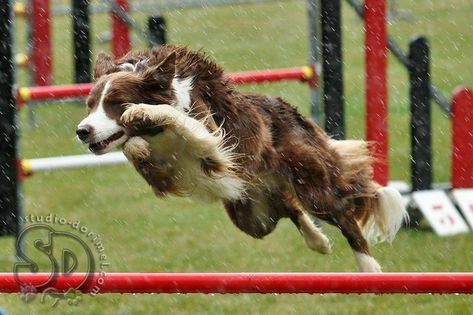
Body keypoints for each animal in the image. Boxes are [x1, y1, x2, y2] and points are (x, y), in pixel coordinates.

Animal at [76, 45, 406, 272]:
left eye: (116, 103)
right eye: (90, 105)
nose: (82, 131)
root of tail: (295, 116)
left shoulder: (212, 141)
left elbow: (175, 118)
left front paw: (142, 111)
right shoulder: (165, 173)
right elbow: (136, 148)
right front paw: (140, 145)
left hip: (312, 187)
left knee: (345, 217)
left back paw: (369, 268)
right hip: (252, 217)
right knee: (289, 206)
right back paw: (318, 240)